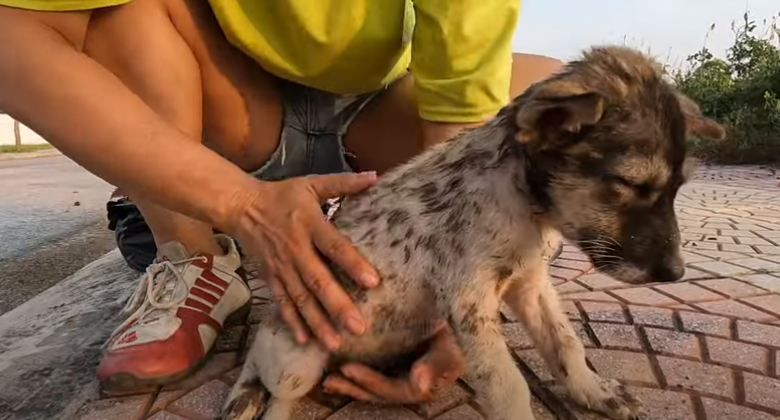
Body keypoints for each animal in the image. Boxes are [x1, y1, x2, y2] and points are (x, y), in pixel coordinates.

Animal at [222, 45, 726, 420]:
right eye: (630, 184)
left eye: (679, 187)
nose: (676, 273)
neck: (521, 204)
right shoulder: (470, 301)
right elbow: (509, 386)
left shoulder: (530, 284)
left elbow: (566, 344)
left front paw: (594, 392)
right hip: (296, 358)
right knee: (272, 389)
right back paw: (245, 395)